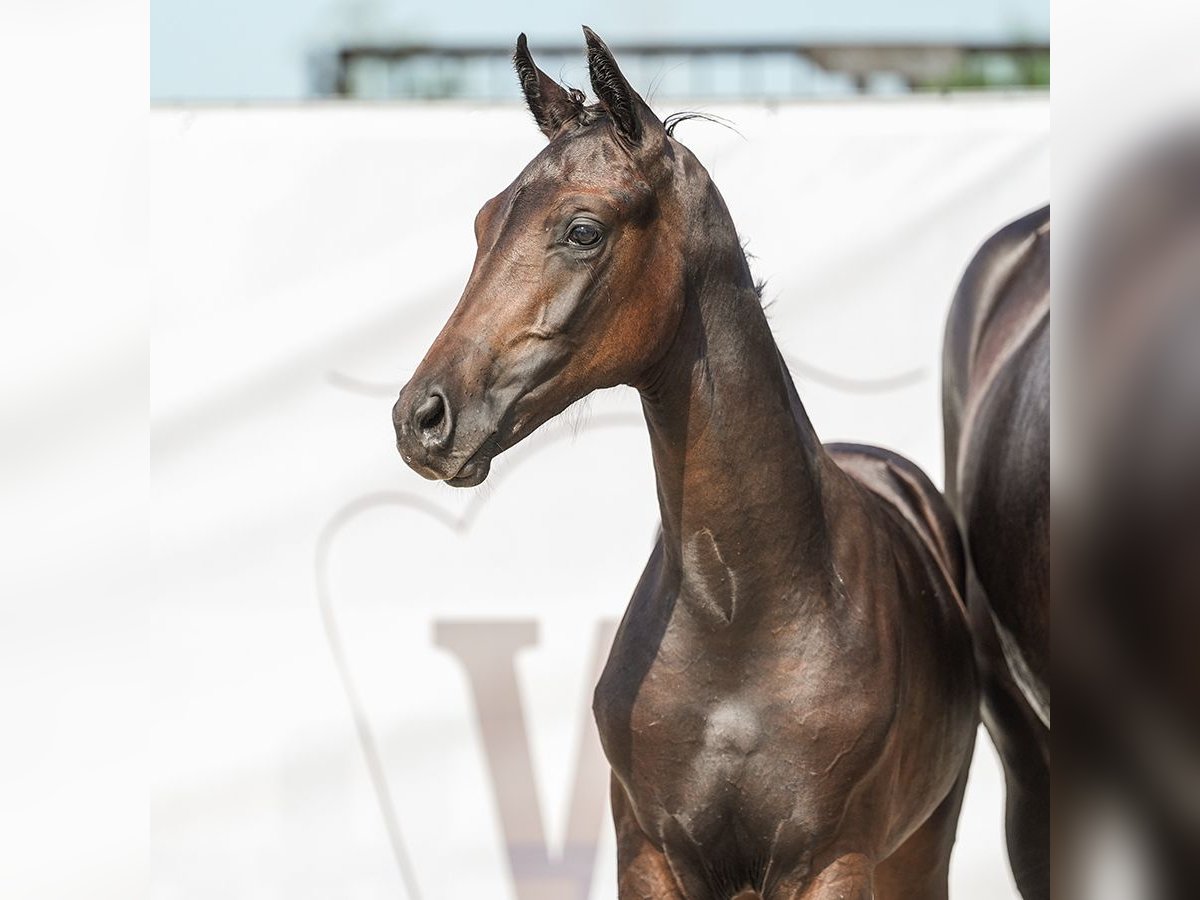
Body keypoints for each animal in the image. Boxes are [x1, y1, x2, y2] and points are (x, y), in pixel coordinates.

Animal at [398, 30, 979, 900]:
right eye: (482, 223)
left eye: (583, 229)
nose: (422, 418)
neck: (741, 616)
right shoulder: (649, 854)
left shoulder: (833, 861)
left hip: (920, 853)